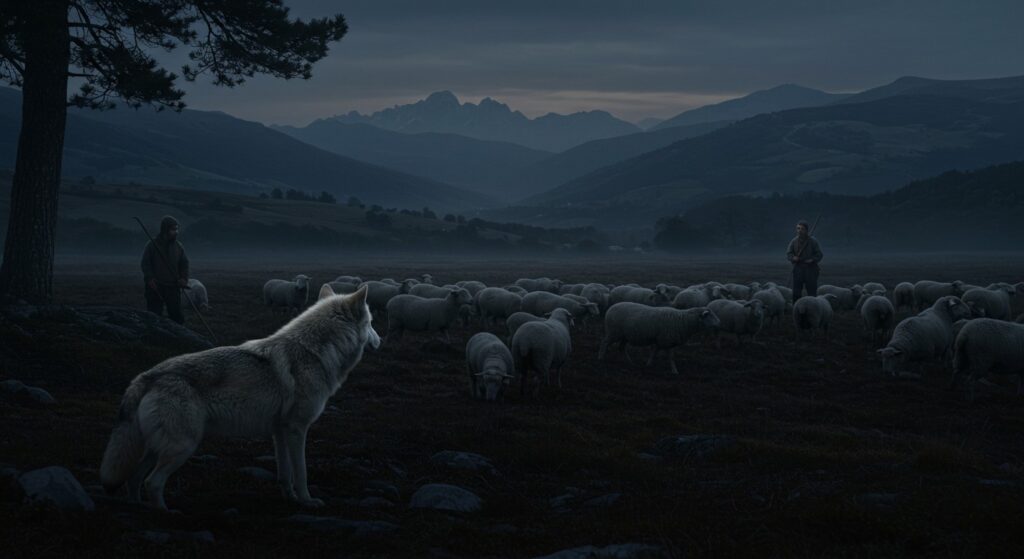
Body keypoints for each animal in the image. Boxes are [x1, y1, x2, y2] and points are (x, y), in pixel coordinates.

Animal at [100, 284, 380, 510]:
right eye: (371, 323)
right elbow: (301, 473)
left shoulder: (279, 431)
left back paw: (138, 509)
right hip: (183, 446)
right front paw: (307, 501)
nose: (379, 341)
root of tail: (146, 376)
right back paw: (164, 513)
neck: (314, 352)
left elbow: (285, 473)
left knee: (134, 480)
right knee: (152, 482)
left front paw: (289, 499)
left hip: (157, 447)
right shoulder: (297, 429)